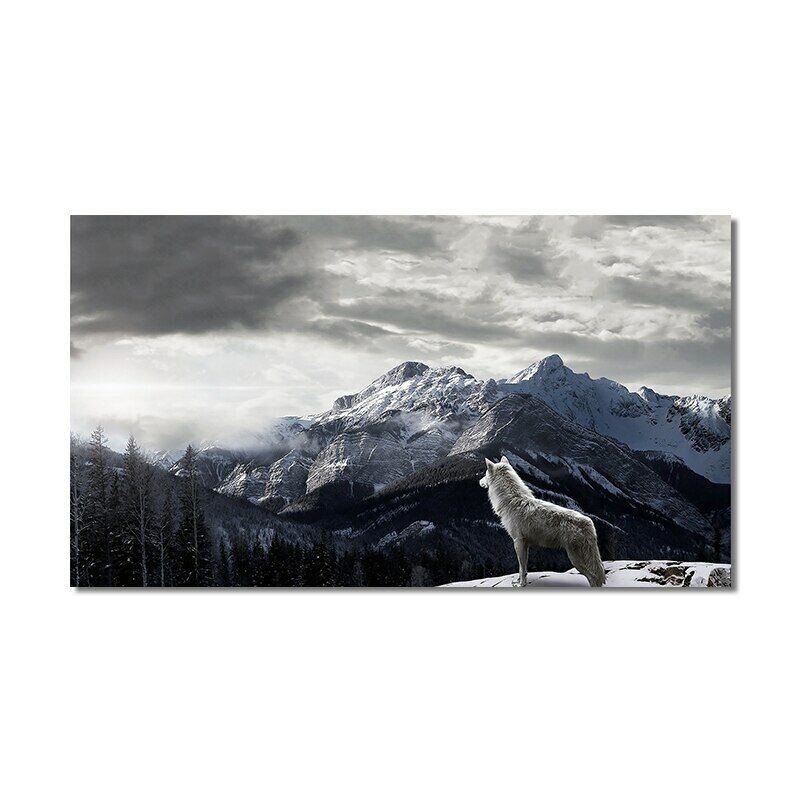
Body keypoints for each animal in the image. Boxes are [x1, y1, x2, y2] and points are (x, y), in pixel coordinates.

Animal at [479, 456, 606, 587]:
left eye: (485, 474)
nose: (479, 481)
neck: (511, 500)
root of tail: (589, 522)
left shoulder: (518, 541)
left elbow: (521, 568)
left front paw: (521, 585)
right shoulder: (525, 544)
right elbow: (523, 569)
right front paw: (519, 581)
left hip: (575, 560)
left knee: (593, 577)